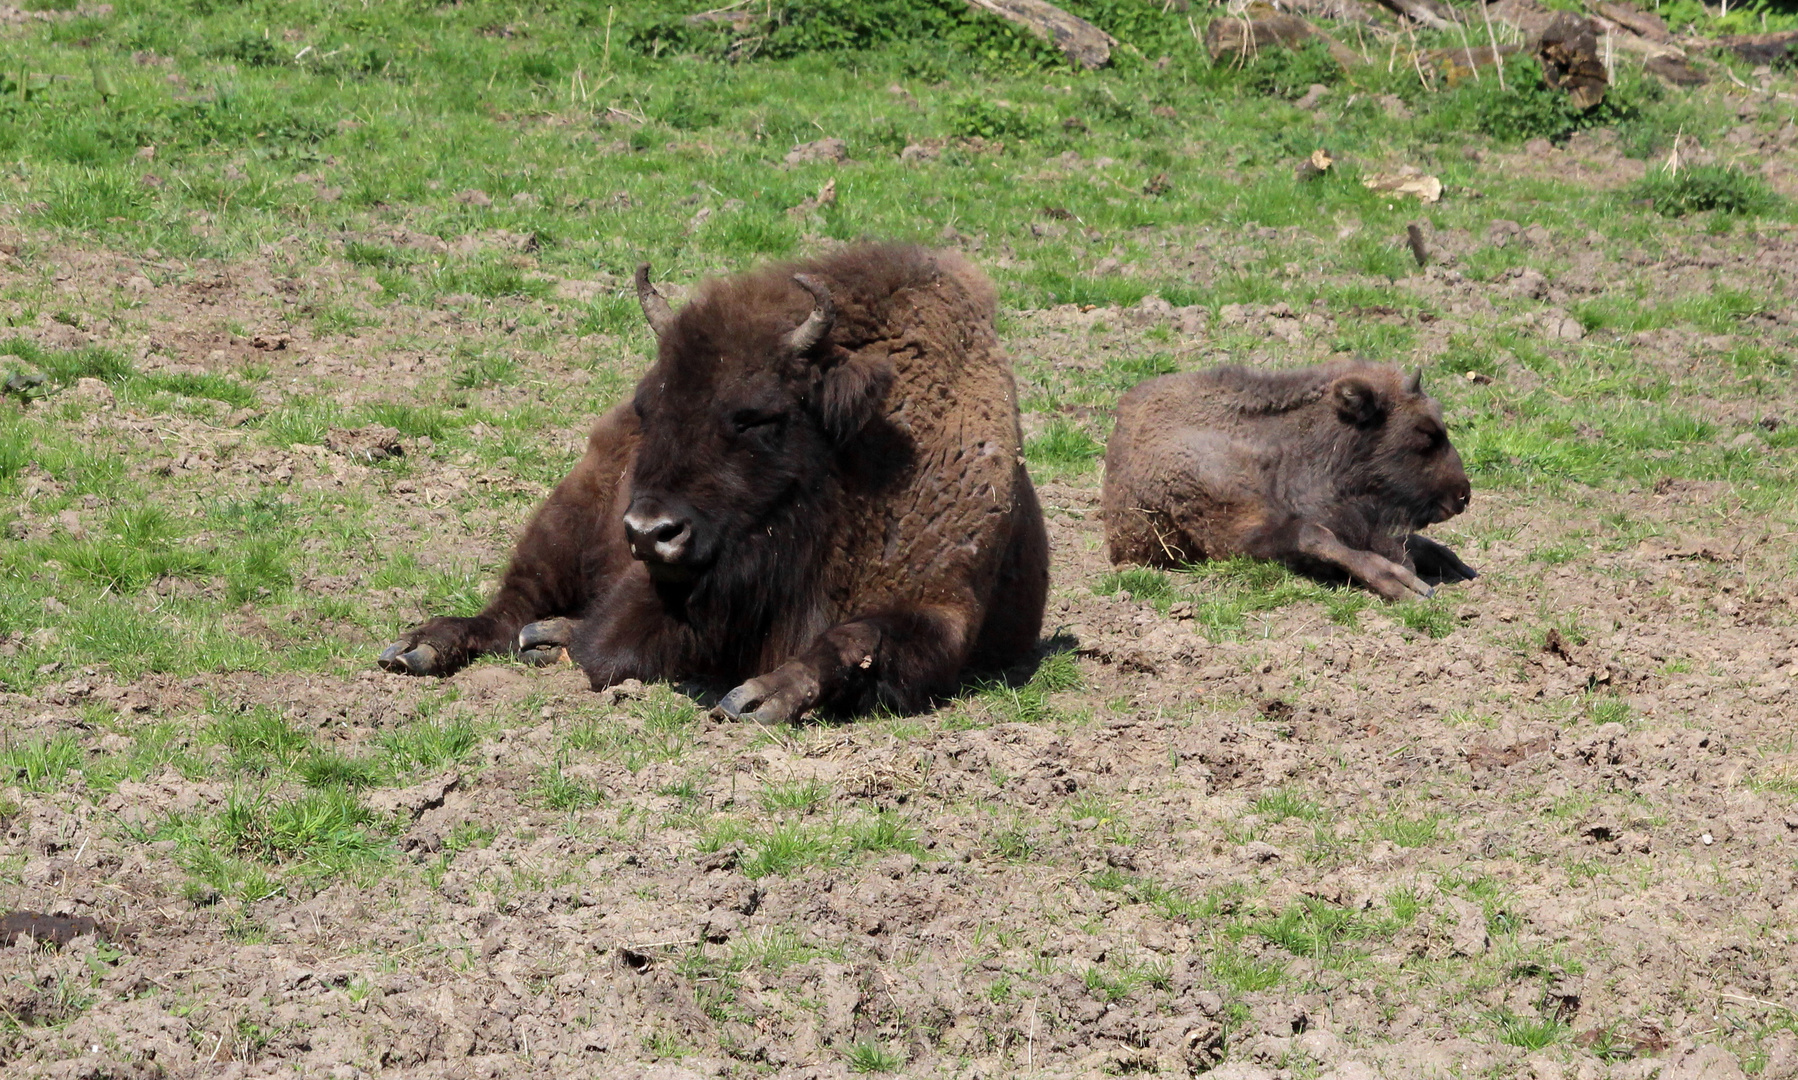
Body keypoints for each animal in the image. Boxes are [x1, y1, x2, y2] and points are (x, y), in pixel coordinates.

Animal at [381, 240, 1050, 718]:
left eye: (759, 417)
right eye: (649, 406)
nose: (649, 532)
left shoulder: (943, 612)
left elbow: (857, 640)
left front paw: (760, 697)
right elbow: (615, 646)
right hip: (567, 518)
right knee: (511, 605)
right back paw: (422, 646)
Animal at [1107, 359, 1474, 596]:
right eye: (1424, 433)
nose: (1462, 494)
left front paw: (1449, 562)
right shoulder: (1238, 535)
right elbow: (1314, 536)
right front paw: (1402, 583)